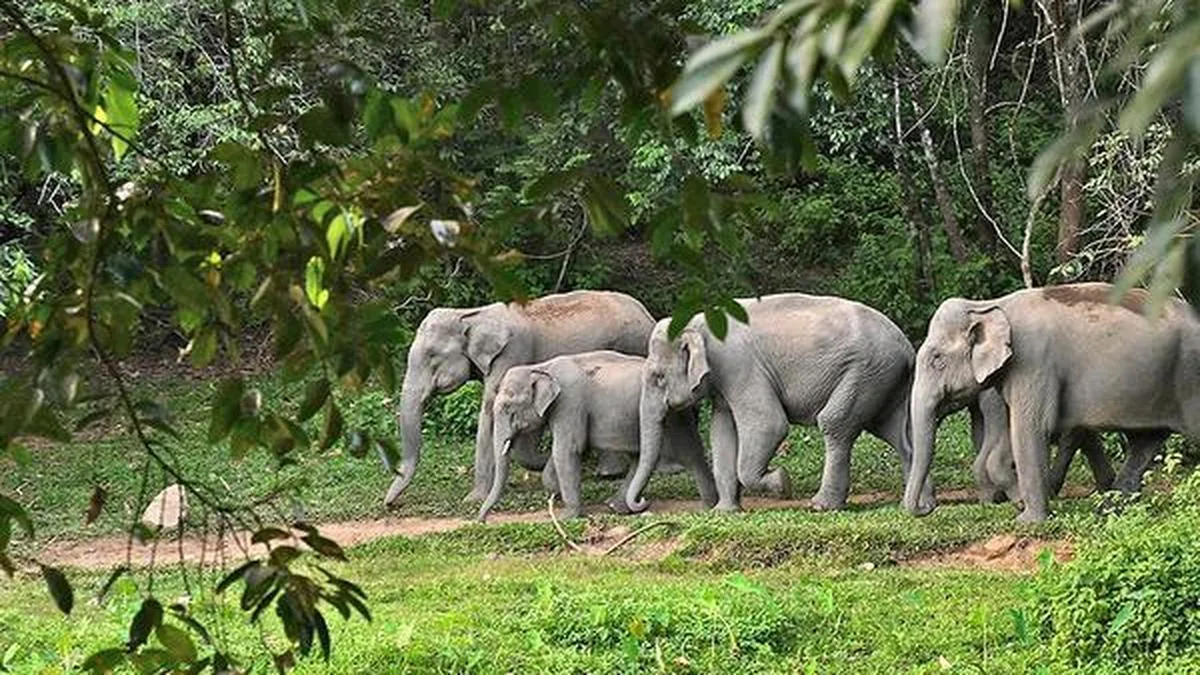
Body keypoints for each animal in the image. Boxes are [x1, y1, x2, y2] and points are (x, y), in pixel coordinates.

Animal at [384, 290, 657, 506]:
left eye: (432, 355)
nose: (389, 504)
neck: (471, 315)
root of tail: (647, 314)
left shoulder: (513, 352)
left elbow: (489, 411)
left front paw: (473, 499)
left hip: (630, 344)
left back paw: (607, 473)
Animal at [477, 351, 717, 521]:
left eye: (508, 408)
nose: (481, 520)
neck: (541, 367)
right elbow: (563, 453)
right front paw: (557, 492)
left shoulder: (570, 403)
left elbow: (568, 449)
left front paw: (567, 516)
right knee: (652, 455)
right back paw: (618, 507)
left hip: (672, 415)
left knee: (686, 453)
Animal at [626, 293, 933, 514]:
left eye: (657, 377)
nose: (642, 503)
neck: (701, 322)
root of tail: (907, 346)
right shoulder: (724, 382)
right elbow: (722, 433)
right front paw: (724, 512)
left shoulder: (739, 366)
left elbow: (769, 424)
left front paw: (782, 482)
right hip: (884, 380)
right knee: (896, 435)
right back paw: (921, 504)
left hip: (866, 371)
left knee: (835, 423)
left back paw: (821, 505)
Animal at [904, 282, 1194, 522]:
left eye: (937, 360)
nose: (926, 508)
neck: (990, 304)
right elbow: (1009, 435)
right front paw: (1022, 503)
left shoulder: (1033, 362)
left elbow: (1030, 429)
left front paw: (1028, 519)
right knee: (1145, 443)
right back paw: (1108, 511)